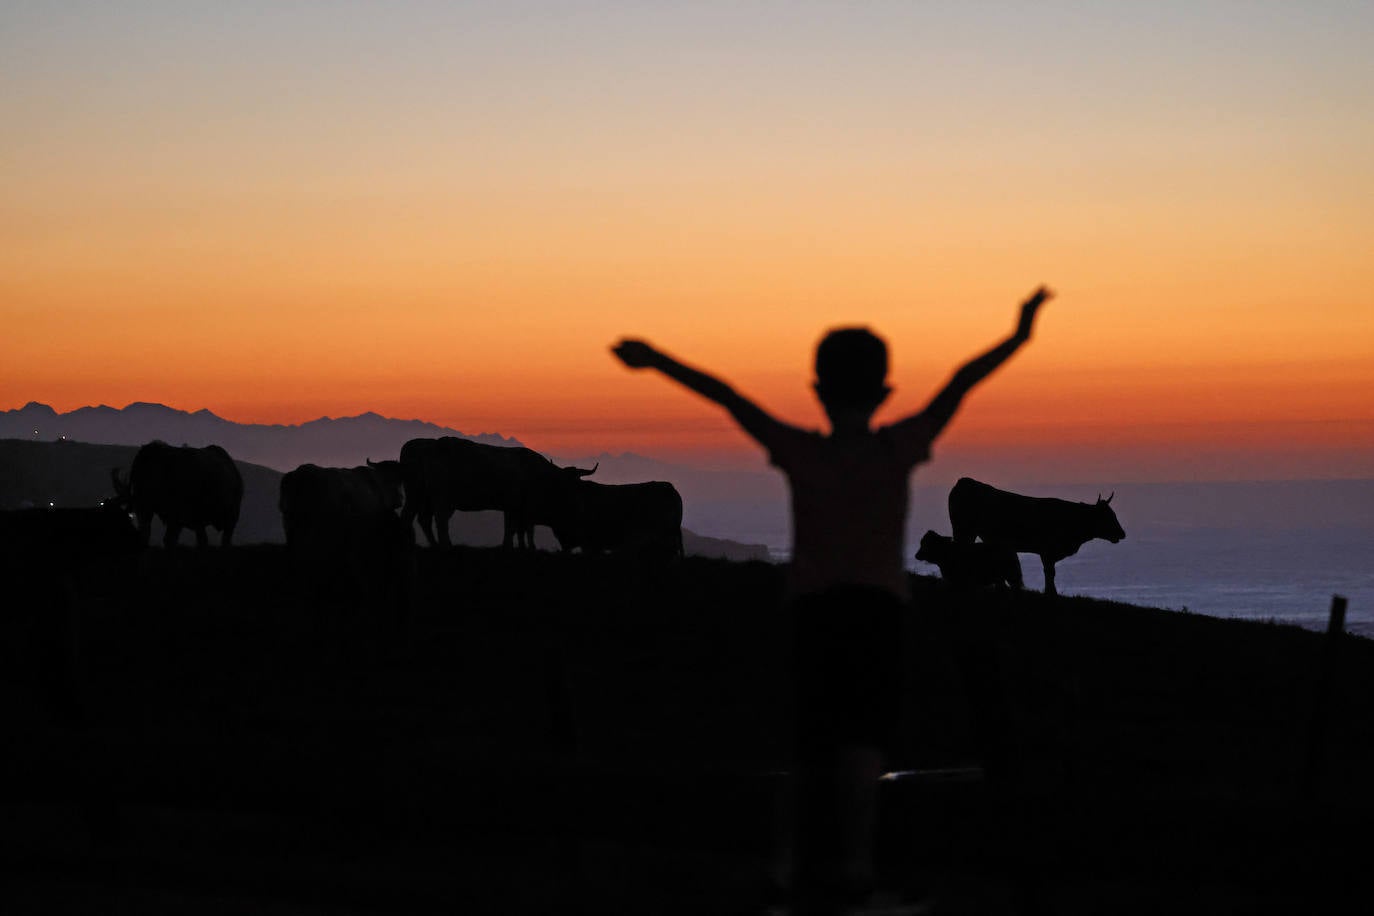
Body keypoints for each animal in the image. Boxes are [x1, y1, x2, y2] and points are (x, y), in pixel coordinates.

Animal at [112, 442, 244, 549]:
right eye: (137, 476)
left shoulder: (178, 518)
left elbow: (170, 540)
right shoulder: (152, 512)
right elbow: (153, 536)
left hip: (230, 519)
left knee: (223, 541)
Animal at [395, 439, 593, 549]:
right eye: (565, 484)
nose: (578, 498)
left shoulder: (514, 508)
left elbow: (512, 529)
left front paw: (509, 546)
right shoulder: (515, 506)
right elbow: (513, 528)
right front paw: (509, 546)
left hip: (418, 494)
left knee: (416, 517)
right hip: (441, 496)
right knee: (439, 520)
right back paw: (445, 545)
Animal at [945, 477, 1126, 598]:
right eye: (1108, 516)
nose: (1122, 533)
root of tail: (964, 481)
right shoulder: (1047, 551)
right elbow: (1050, 572)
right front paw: (1051, 593)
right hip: (963, 528)